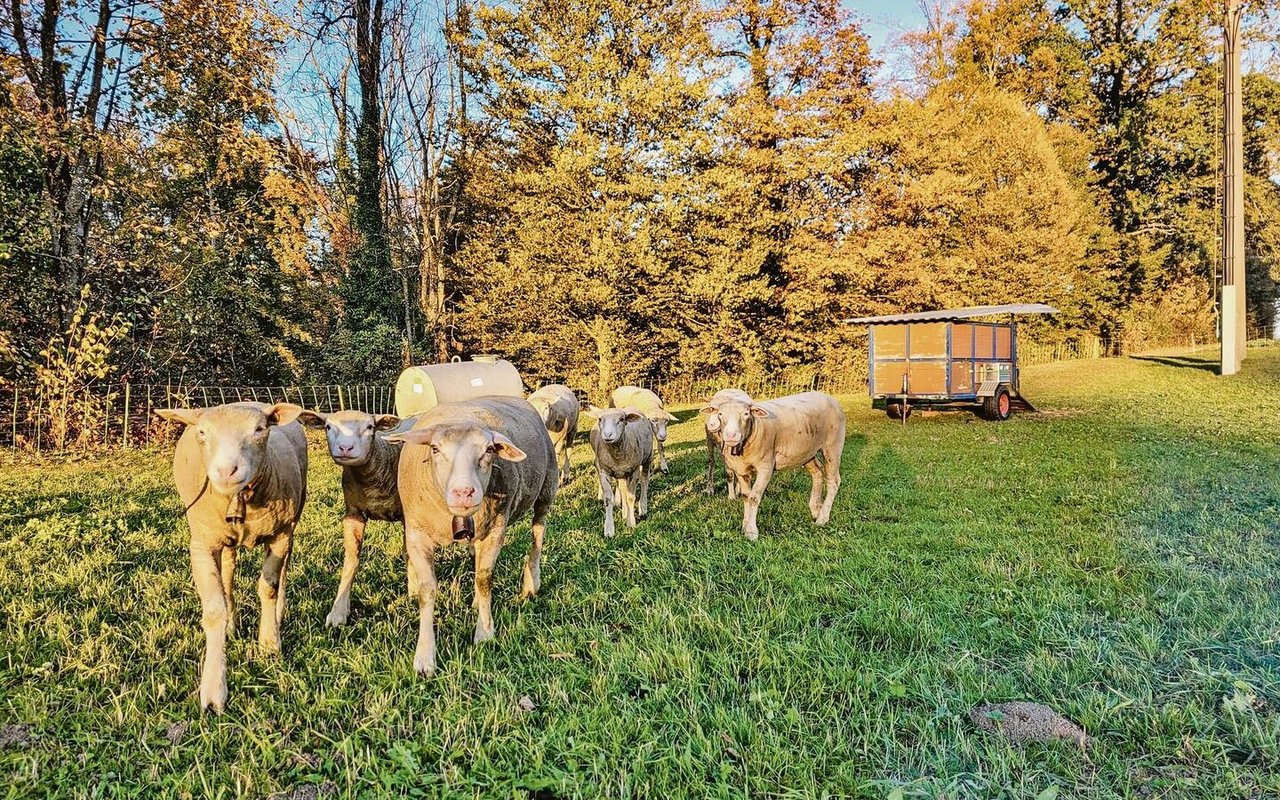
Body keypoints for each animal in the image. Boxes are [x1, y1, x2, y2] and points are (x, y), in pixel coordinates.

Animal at [151, 401, 305, 716]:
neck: (240, 499)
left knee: (283, 571)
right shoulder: (201, 544)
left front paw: (269, 643)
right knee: (228, 573)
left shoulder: (280, 533)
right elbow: (214, 608)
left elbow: (268, 587)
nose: (226, 470)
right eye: (201, 432)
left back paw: (278, 614)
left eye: (260, 429)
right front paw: (213, 690)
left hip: (292, 522)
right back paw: (232, 624)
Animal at [299, 409, 419, 627]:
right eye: (328, 427)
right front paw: (338, 612)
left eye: (370, 427)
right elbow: (351, 560)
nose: (346, 448)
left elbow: (409, 553)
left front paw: (414, 592)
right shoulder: (353, 514)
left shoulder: (408, 515)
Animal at [384, 396, 555, 675]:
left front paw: (484, 633)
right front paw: (425, 657)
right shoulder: (417, 535)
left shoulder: (496, 528)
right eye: (434, 449)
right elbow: (427, 591)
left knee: (537, 534)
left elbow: (484, 580)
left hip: (547, 487)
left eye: (489, 450)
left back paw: (531, 584)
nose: (464, 492)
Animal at [586, 404, 655, 537]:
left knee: (644, 482)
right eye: (600, 419)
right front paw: (609, 530)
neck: (617, 453)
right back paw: (624, 514)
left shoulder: (634, 471)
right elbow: (609, 499)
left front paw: (631, 523)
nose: (608, 435)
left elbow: (630, 497)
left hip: (648, 458)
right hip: (621, 473)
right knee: (623, 488)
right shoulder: (603, 471)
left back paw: (642, 509)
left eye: (622, 419)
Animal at [701, 389, 839, 540]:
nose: (731, 435)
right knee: (817, 472)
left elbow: (754, 497)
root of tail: (826, 396)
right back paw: (815, 510)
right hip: (806, 452)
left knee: (834, 481)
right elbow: (746, 497)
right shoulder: (741, 470)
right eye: (720, 414)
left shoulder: (766, 467)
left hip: (833, 446)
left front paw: (751, 532)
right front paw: (745, 525)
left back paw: (822, 518)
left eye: (746, 414)